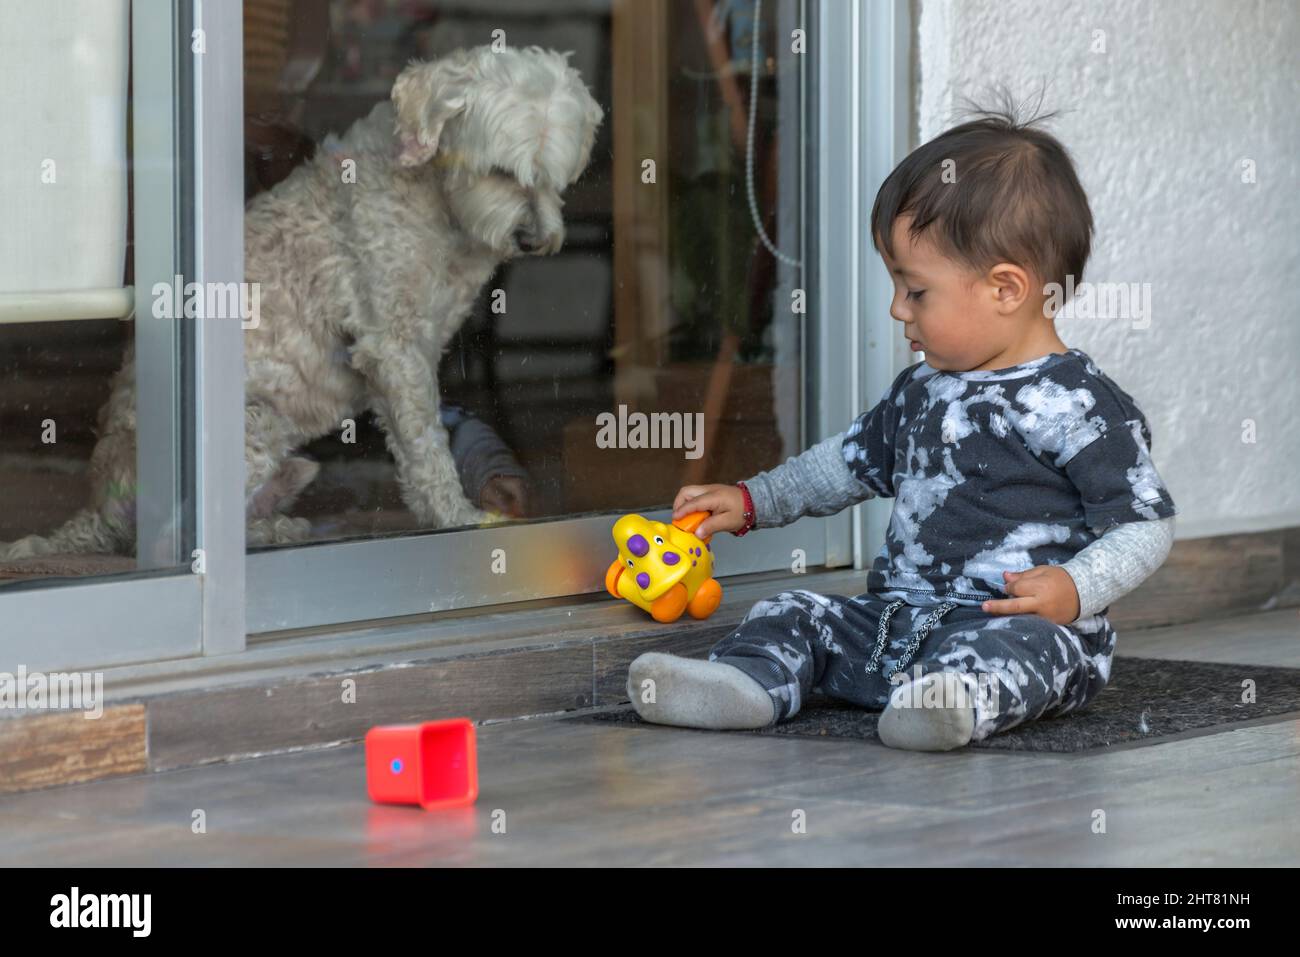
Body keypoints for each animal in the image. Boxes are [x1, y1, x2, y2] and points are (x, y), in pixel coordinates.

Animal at [1, 44, 603, 561]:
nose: (534, 239)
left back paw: (274, 530)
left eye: (555, 179)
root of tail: (97, 511)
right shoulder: (394, 348)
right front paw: (453, 516)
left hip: (294, 465)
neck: (434, 197)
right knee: (169, 538)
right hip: (253, 423)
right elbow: (426, 445)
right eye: (500, 172)